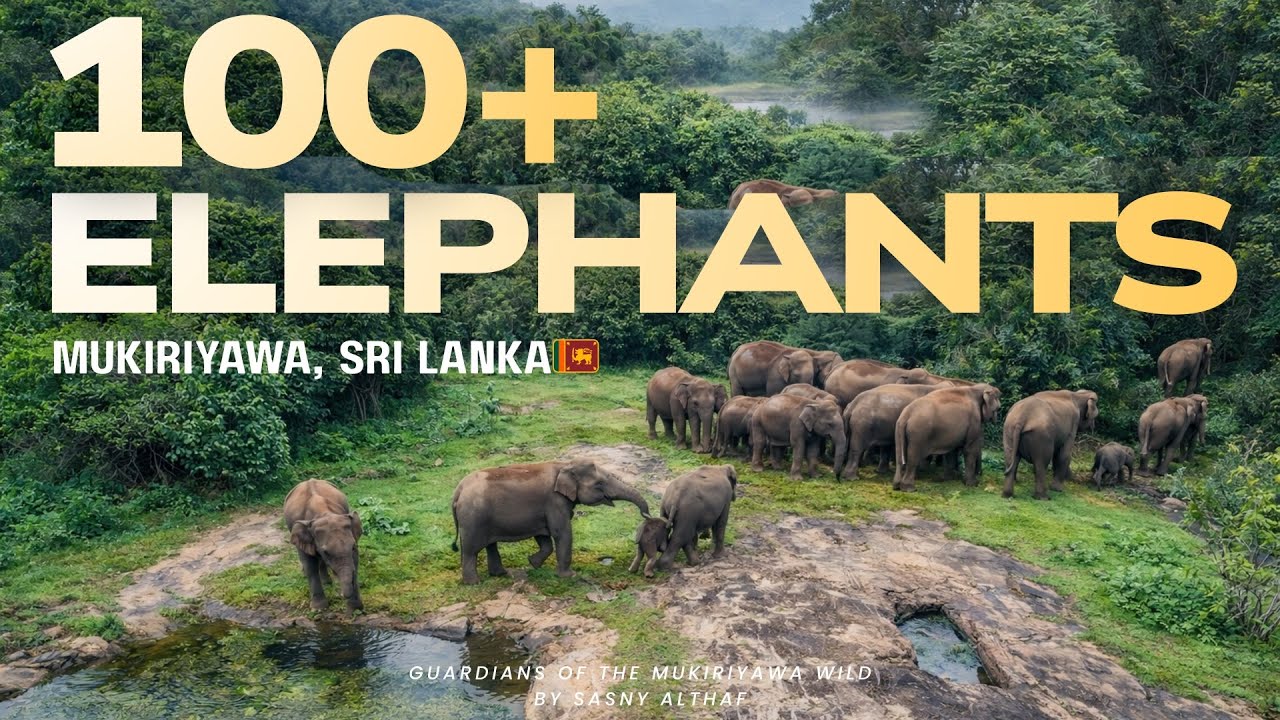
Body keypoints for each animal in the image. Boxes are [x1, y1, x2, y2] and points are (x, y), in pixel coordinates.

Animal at [283, 479, 364, 612]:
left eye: (353, 547)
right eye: (326, 552)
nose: (341, 595)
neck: (324, 512)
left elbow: (355, 561)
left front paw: (356, 609)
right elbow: (310, 565)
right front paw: (318, 609)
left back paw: (327, 583)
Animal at [451, 460, 651, 584]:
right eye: (599, 484)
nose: (646, 515)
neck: (564, 465)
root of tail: (458, 490)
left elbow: (544, 537)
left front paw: (533, 563)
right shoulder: (554, 501)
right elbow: (561, 533)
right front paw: (569, 576)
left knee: (490, 545)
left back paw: (501, 574)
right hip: (473, 518)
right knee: (471, 550)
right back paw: (474, 583)